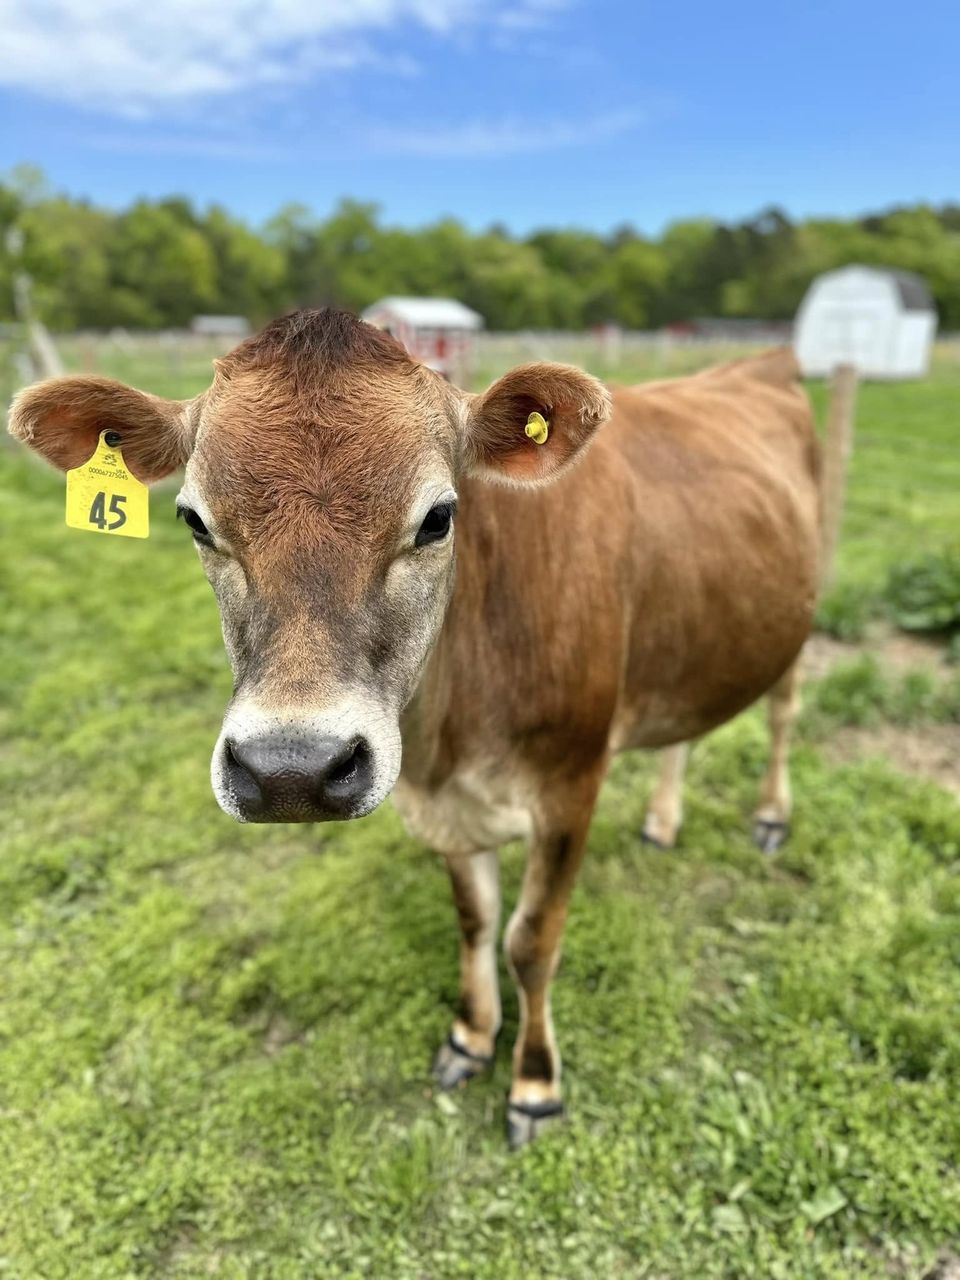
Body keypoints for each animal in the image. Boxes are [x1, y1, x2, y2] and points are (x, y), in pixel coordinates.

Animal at [9, 309, 829, 1148]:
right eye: (194, 521)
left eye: (438, 517)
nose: (290, 769)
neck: (454, 735)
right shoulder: (444, 807)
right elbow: (475, 920)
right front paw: (471, 1036)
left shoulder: (572, 783)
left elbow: (532, 939)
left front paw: (535, 1082)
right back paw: (664, 820)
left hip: (802, 611)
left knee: (784, 711)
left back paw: (771, 814)